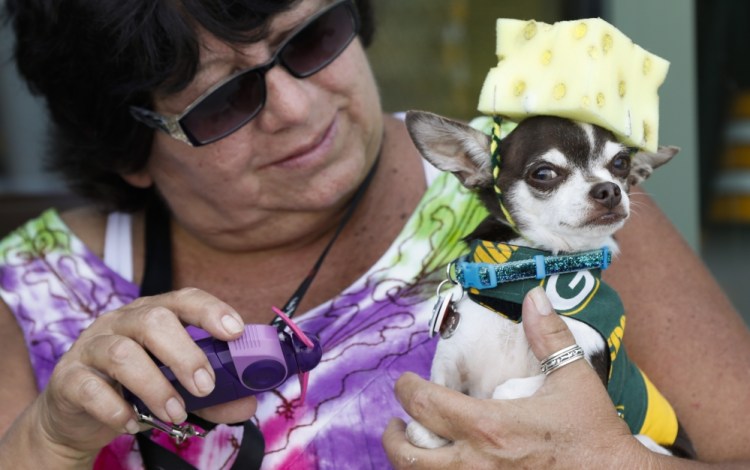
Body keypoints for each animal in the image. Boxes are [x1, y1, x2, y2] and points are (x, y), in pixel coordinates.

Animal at [406, 109, 700, 456]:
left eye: (620, 163)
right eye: (543, 173)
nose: (609, 189)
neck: (521, 284)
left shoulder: (589, 377)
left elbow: (504, 391)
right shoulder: (449, 364)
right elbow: (434, 400)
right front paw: (429, 431)